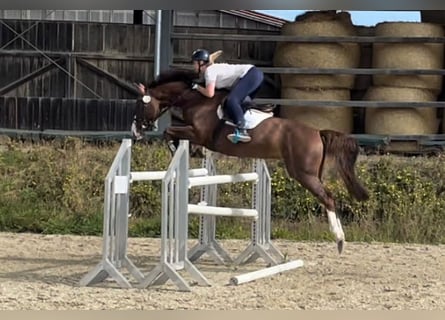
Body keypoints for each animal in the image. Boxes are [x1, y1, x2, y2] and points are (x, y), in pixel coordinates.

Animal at [131, 69, 368, 254]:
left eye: (140, 105)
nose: (135, 132)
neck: (197, 100)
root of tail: (317, 132)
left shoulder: (198, 133)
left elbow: (169, 132)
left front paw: (175, 149)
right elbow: (178, 136)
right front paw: (195, 152)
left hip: (304, 174)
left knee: (328, 198)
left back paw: (339, 238)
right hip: (311, 173)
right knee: (328, 197)